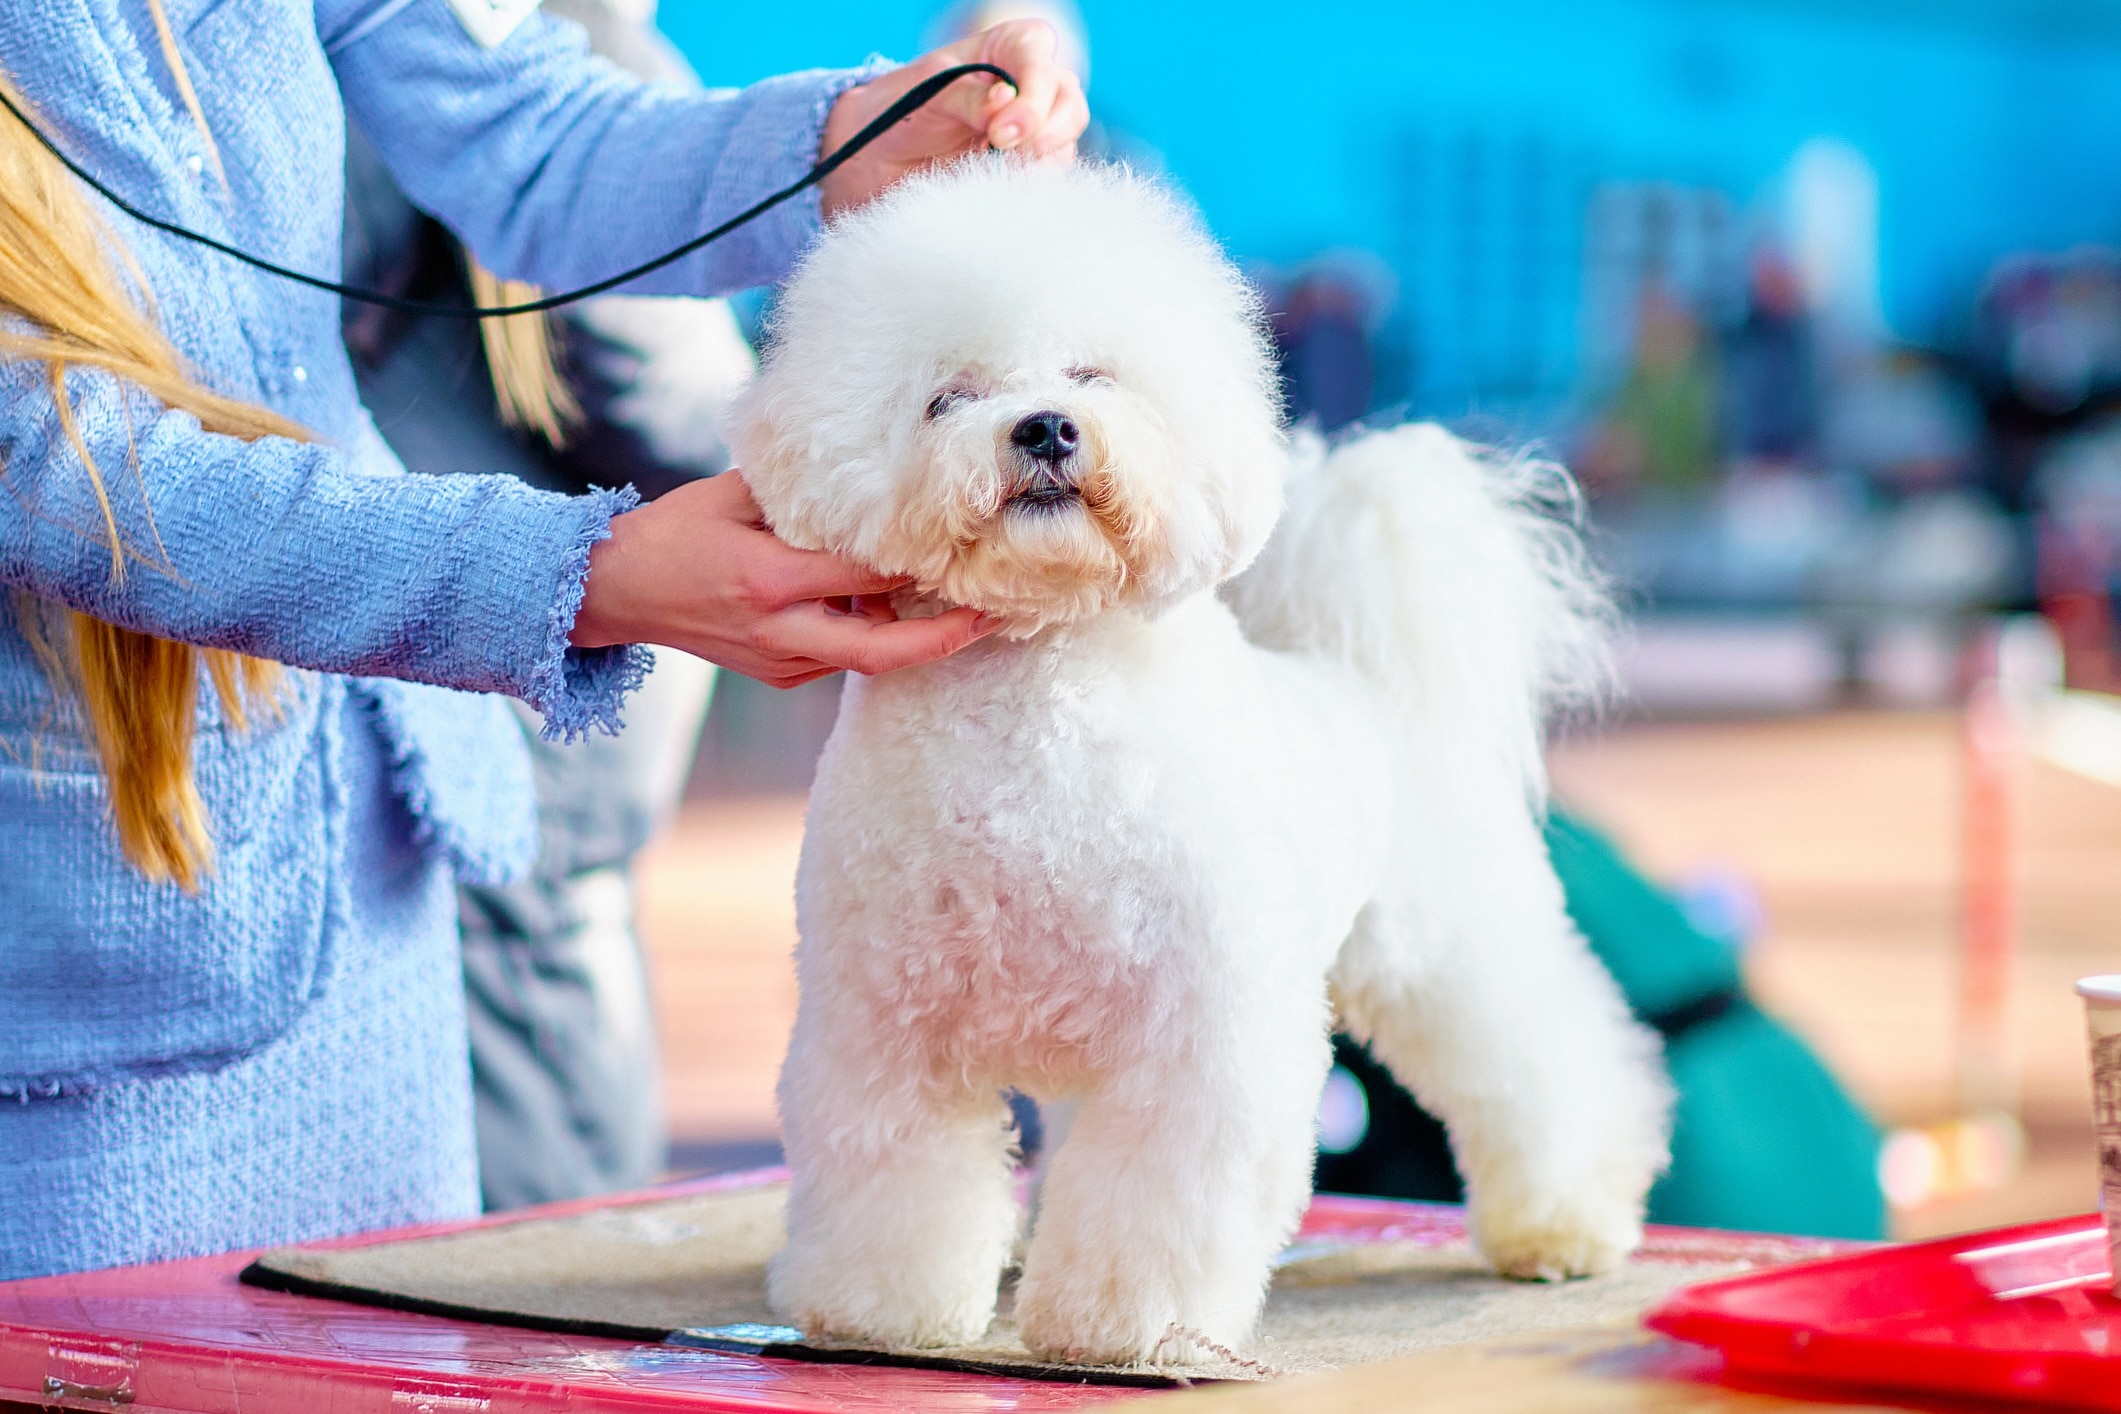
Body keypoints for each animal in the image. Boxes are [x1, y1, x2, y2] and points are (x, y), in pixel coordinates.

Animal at [733, 154, 1671, 1373]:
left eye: (1094, 375)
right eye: (946, 397)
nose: (1044, 428)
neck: (1035, 705)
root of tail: (1369, 687)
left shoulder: (1194, 1040)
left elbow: (1156, 1201)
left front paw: (1125, 1326)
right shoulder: (884, 1024)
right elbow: (893, 1178)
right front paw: (879, 1312)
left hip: (1443, 946)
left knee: (1543, 1060)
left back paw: (1565, 1222)